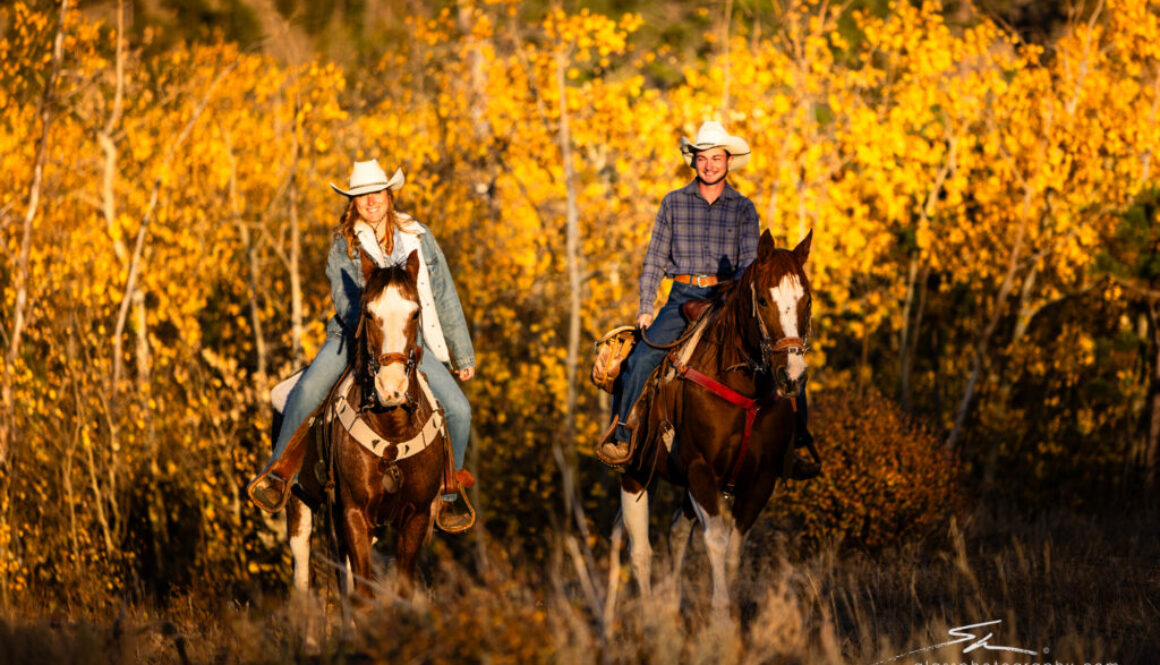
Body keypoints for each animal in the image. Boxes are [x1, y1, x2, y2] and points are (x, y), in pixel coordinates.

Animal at [286, 250, 447, 603]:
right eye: (370, 314)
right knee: (302, 570)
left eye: (415, 313)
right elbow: (362, 595)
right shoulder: (354, 513)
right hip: (301, 502)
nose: (391, 388)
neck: (392, 432)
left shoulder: (415, 517)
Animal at [621, 230, 812, 608]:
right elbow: (717, 542)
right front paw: (721, 616)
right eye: (763, 301)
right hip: (634, 472)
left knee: (677, 532)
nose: (792, 377)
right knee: (640, 551)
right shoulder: (700, 469)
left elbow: (735, 548)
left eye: (807, 301)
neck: (745, 390)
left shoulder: (760, 480)